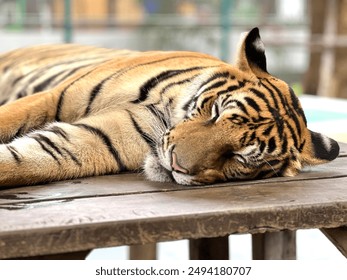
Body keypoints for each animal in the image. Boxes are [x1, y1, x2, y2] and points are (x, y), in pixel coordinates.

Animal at [0, 27, 340, 187]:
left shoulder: (92, 141)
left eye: (240, 158)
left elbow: (24, 161)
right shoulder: (52, 97)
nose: (176, 164)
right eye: (216, 112)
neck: (166, 112)